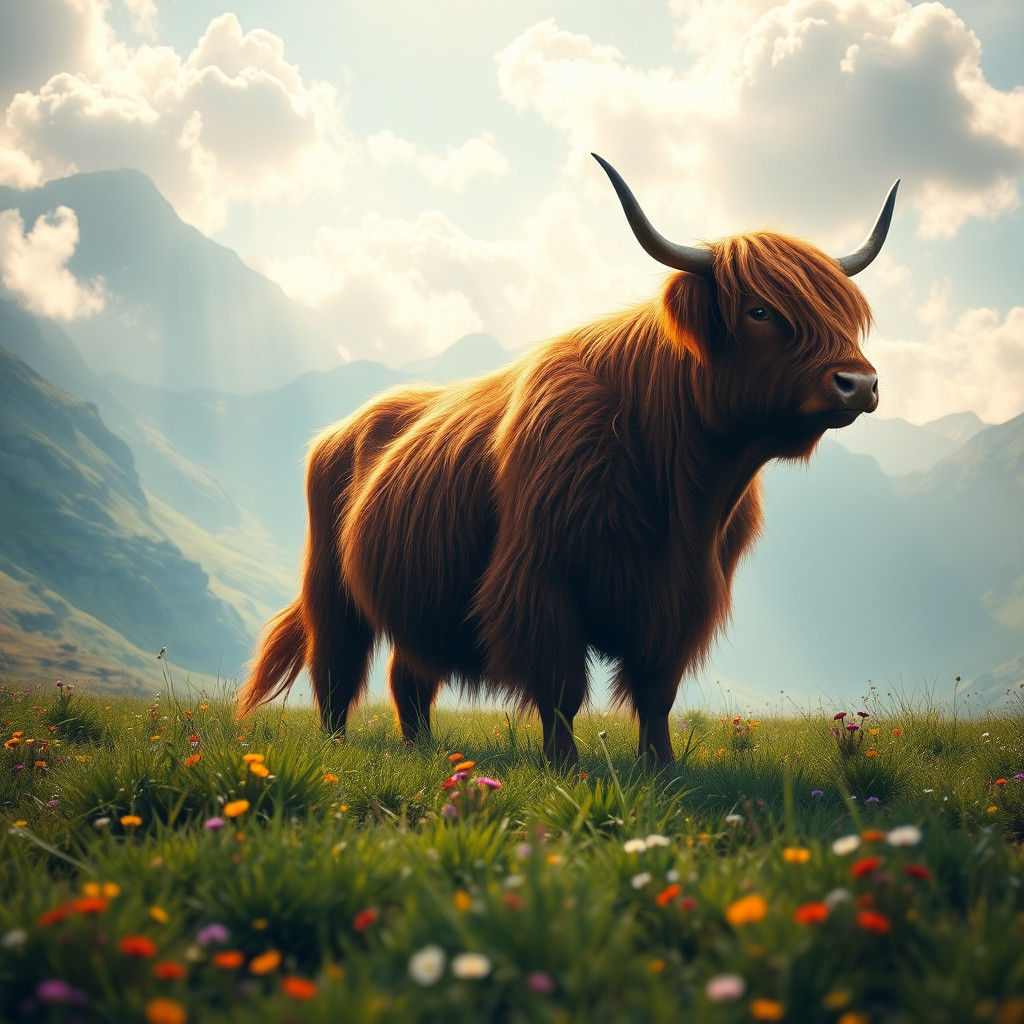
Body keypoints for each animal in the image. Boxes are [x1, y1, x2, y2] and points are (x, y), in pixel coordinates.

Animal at [238, 155, 897, 767]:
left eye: (845, 312)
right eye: (760, 311)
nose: (860, 384)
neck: (680, 482)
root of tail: (338, 432)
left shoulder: (683, 600)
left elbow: (656, 692)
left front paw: (660, 768)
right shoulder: (541, 581)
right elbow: (561, 688)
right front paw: (566, 767)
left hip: (419, 599)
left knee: (410, 675)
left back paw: (421, 748)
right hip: (332, 586)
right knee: (336, 668)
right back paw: (336, 747)